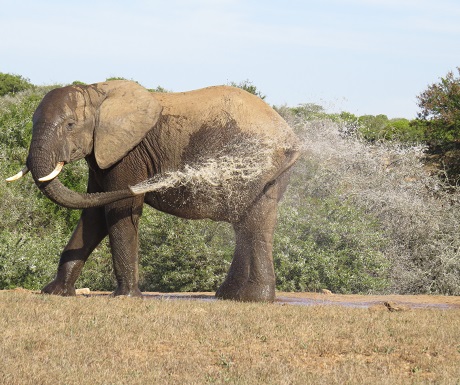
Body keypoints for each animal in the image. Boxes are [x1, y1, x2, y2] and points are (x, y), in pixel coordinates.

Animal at [8, 81, 302, 302]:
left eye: (70, 125)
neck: (96, 92)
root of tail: (292, 138)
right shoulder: (102, 153)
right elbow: (93, 214)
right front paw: (54, 292)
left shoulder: (128, 154)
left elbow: (118, 210)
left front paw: (125, 297)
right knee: (245, 225)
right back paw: (229, 296)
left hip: (257, 166)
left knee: (254, 224)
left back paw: (254, 299)